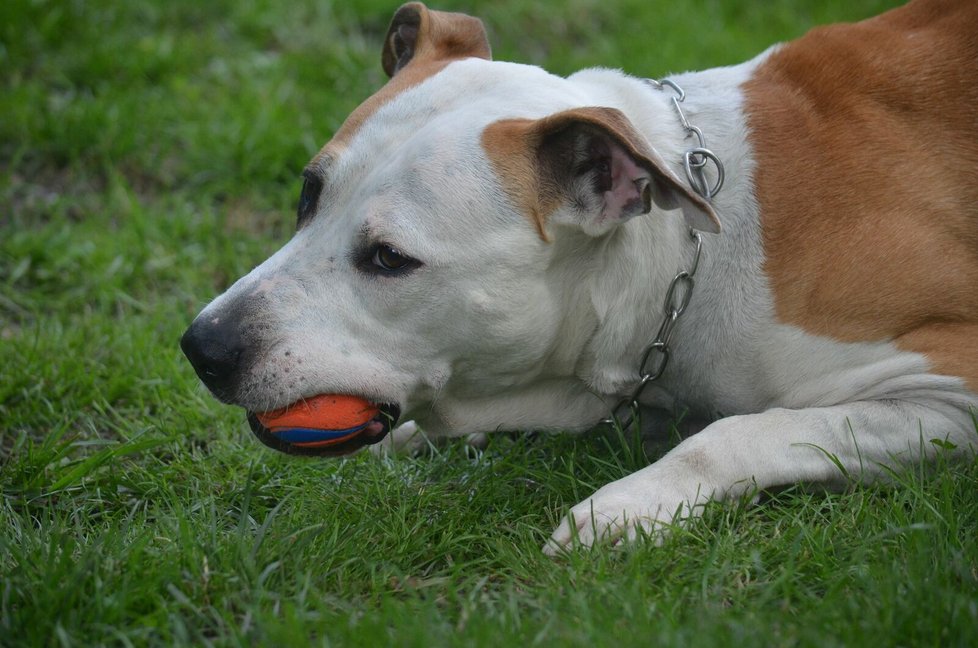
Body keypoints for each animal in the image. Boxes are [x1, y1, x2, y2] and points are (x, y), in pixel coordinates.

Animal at [179, 0, 972, 556]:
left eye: (389, 258)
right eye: (308, 193)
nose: (201, 347)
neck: (684, 260)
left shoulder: (947, 386)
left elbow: (742, 430)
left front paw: (631, 504)